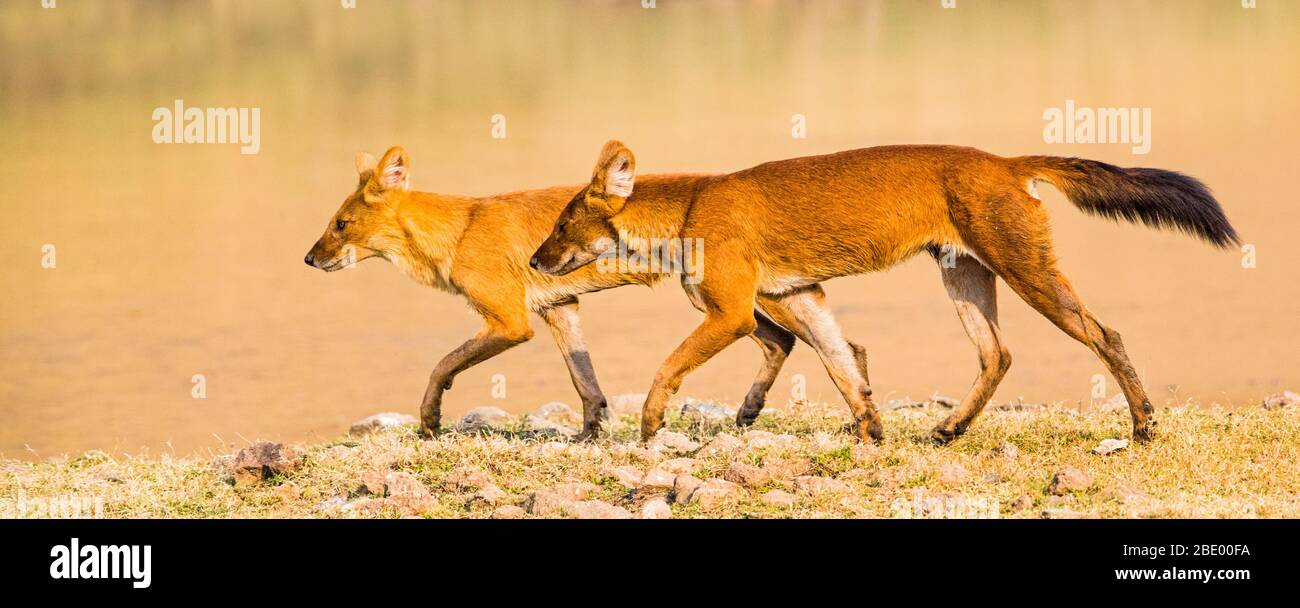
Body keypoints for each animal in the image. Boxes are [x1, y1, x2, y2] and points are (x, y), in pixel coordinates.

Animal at [304, 148, 800, 441]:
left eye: (341, 224)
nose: (308, 258)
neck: (459, 232)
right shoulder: (560, 307)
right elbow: (585, 382)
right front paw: (588, 435)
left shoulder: (510, 322)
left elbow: (441, 364)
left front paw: (430, 420)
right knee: (785, 341)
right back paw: (749, 412)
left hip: (734, 297)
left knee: (793, 339)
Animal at [527, 140, 1237, 444]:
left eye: (560, 226)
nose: (534, 259)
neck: (689, 210)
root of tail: (1006, 161)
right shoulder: (800, 295)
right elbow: (844, 367)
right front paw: (869, 431)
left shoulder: (731, 314)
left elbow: (665, 367)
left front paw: (649, 425)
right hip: (963, 276)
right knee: (997, 354)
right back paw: (948, 429)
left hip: (1027, 273)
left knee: (1104, 334)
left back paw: (1144, 426)